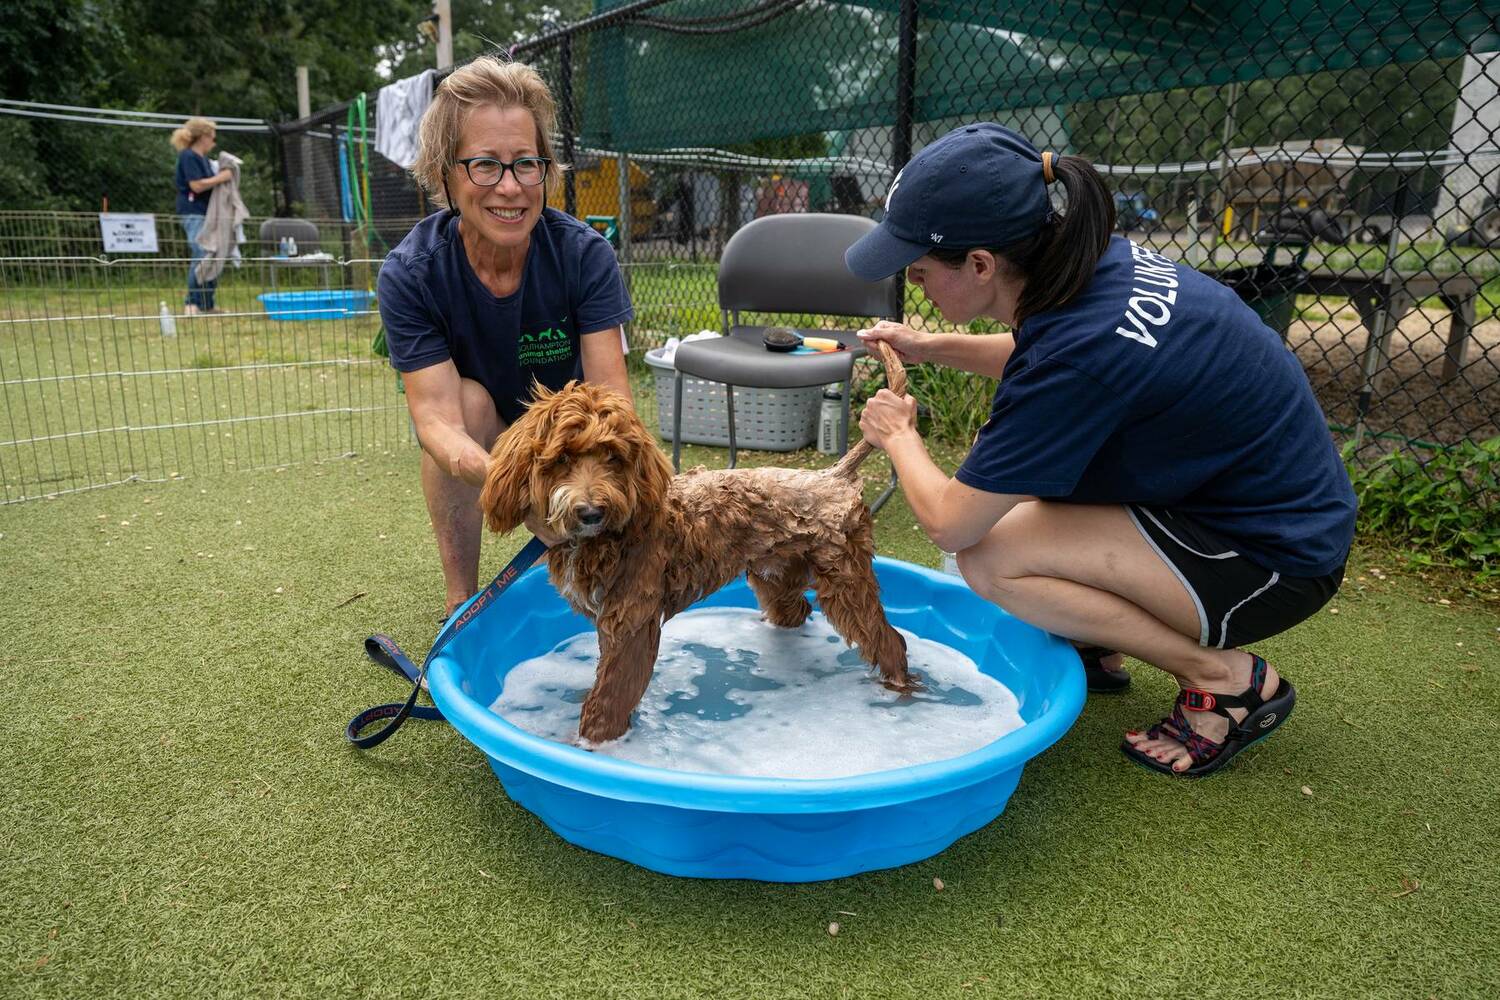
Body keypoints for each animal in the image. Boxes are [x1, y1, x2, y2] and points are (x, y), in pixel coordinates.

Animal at [480, 344, 912, 743]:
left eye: (613, 456)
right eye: (563, 458)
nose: (590, 512)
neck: (610, 535)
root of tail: (833, 475)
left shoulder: (631, 621)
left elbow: (609, 699)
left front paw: (593, 745)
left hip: (845, 580)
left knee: (889, 640)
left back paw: (901, 690)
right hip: (776, 574)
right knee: (796, 610)